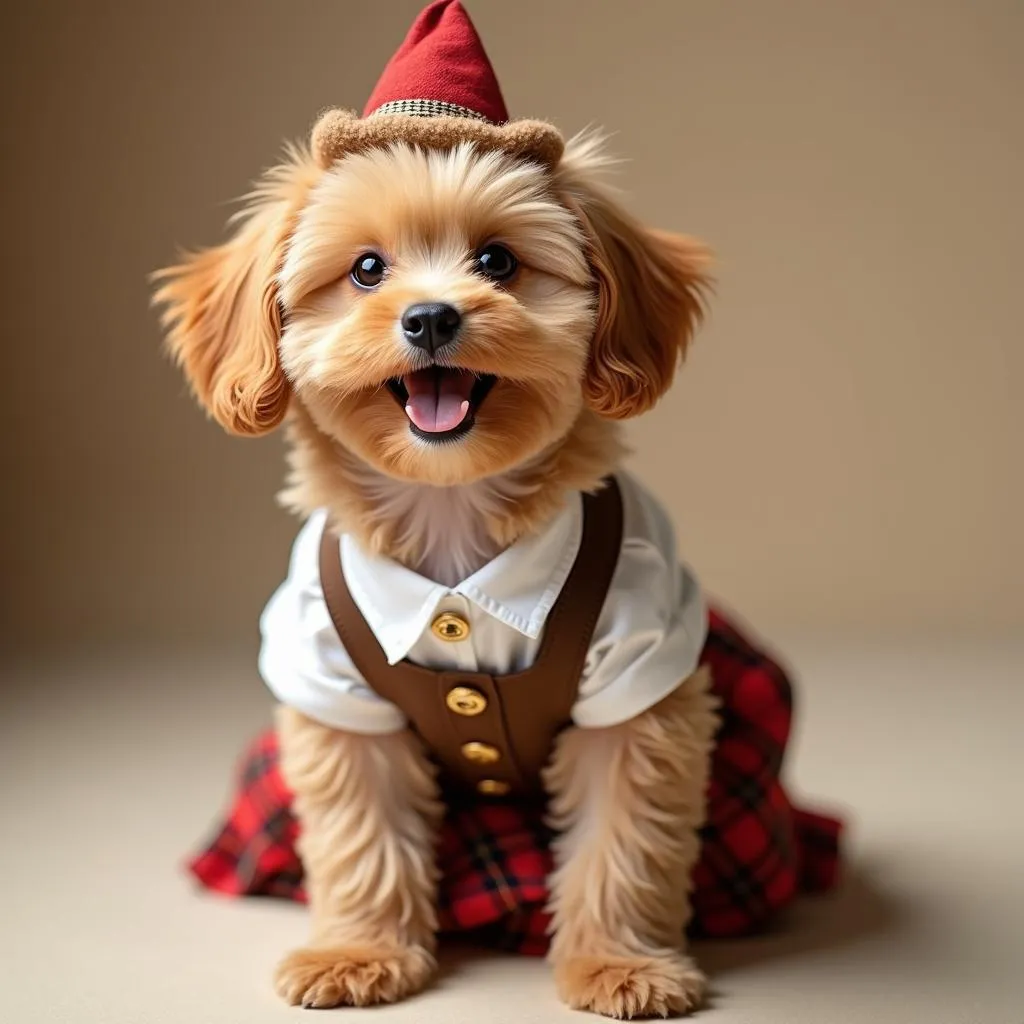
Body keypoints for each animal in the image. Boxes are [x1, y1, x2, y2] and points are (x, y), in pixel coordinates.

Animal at [155, 4, 720, 1015]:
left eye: (497, 261)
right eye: (366, 270)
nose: (429, 317)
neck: (452, 515)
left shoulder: (644, 666)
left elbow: (625, 836)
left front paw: (619, 963)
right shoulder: (328, 679)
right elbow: (361, 830)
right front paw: (358, 950)